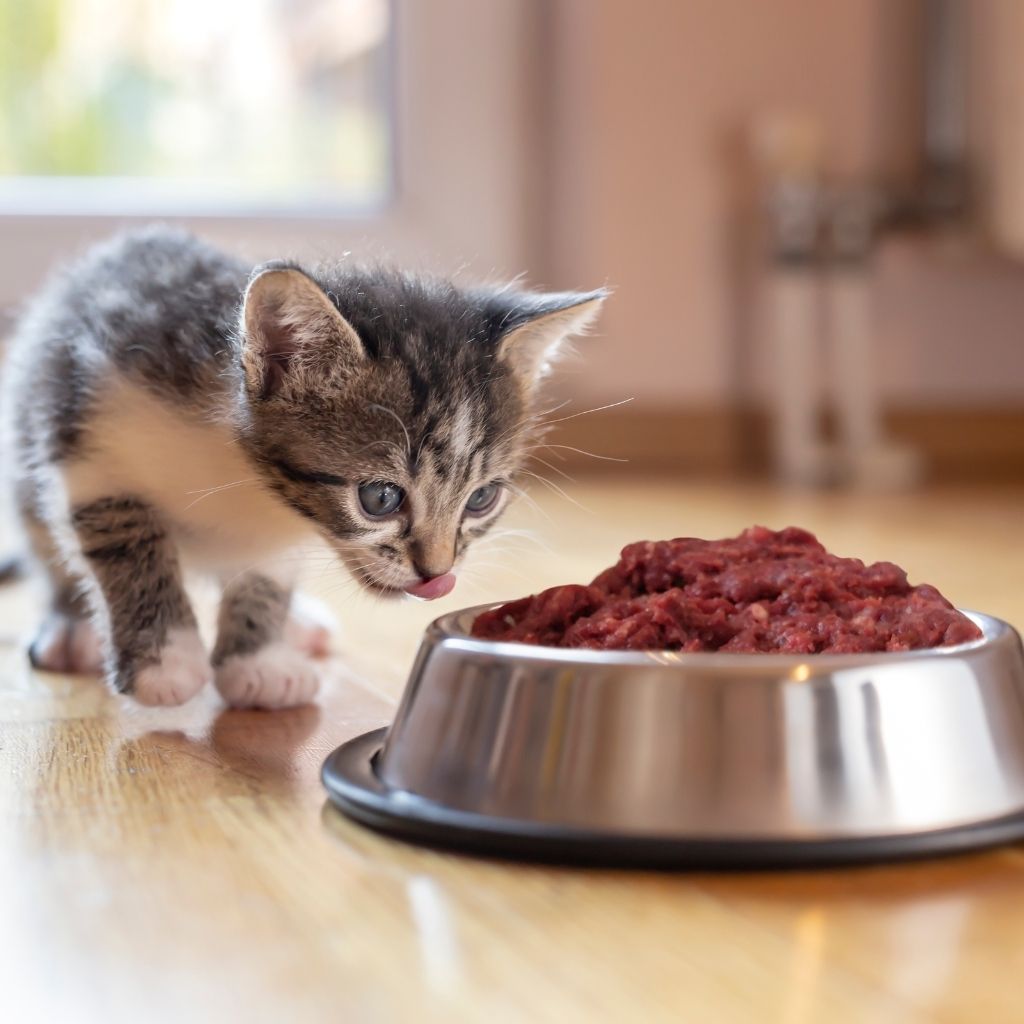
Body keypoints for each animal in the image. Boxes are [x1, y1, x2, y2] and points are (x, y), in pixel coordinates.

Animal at [0, 230, 602, 712]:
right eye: (380, 498)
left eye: (480, 499)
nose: (438, 576)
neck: (241, 471)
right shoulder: (91, 447)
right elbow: (128, 544)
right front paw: (165, 661)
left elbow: (266, 573)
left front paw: (258, 660)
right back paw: (72, 628)